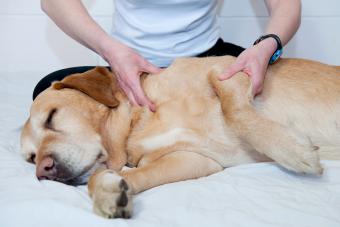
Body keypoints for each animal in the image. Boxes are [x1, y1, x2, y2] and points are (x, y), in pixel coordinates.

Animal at [19, 56, 340, 218]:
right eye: (31, 158)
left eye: (52, 116)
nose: (43, 171)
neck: (139, 123)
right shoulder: (194, 160)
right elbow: (115, 177)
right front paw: (110, 195)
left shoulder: (227, 71)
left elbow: (234, 110)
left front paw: (293, 151)